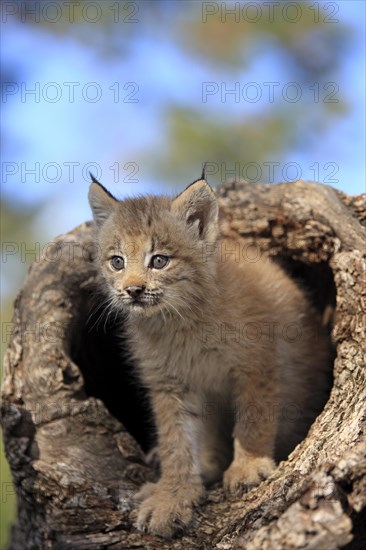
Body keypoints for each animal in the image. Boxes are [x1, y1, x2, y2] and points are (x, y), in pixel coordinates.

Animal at [88, 176, 332, 540]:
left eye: (159, 260)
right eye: (117, 262)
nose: (132, 290)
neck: (179, 318)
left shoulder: (257, 362)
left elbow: (253, 418)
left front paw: (247, 467)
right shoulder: (168, 383)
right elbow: (176, 441)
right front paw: (172, 495)